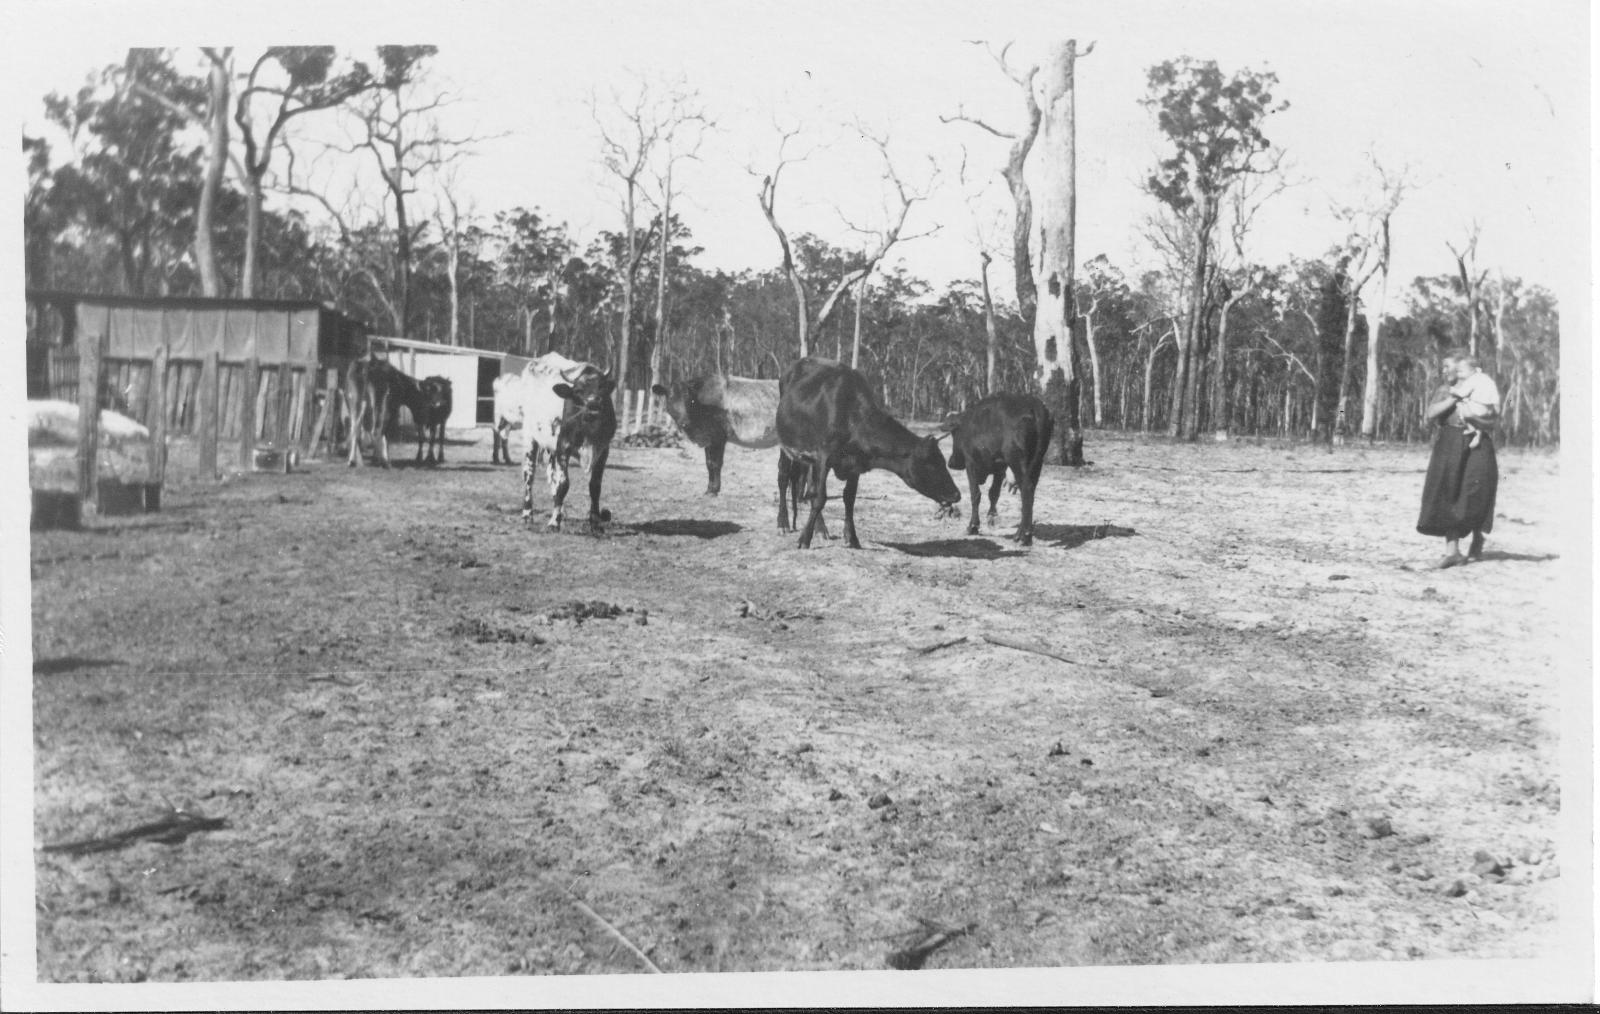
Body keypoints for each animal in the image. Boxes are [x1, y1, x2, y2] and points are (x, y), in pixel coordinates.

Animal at [512, 351, 617, 527]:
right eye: (578, 390)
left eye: (601, 388)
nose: (593, 405)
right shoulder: (564, 446)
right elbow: (563, 483)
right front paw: (554, 522)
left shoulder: (603, 450)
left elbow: (595, 486)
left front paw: (595, 519)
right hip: (530, 436)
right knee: (529, 473)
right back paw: (527, 513)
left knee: (551, 474)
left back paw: (560, 509)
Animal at [777, 353, 960, 550]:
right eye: (932, 464)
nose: (956, 494)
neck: (852, 416)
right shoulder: (824, 458)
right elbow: (819, 498)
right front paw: (804, 539)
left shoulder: (855, 465)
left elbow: (849, 498)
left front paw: (852, 538)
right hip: (785, 446)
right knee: (783, 478)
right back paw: (783, 524)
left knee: (809, 488)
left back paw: (821, 529)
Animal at [940, 390, 1056, 543]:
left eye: (954, 433)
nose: (951, 463)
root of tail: (1034, 405)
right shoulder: (1000, 468)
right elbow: (993, 493)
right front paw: (991, 518)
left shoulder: (971, 464)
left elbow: (975, 494)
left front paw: (973, 526)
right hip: (1037, 462)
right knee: (1030, 493)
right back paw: (1022, 532)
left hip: (1016, 460)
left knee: (1026, 489)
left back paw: (1024, 535)